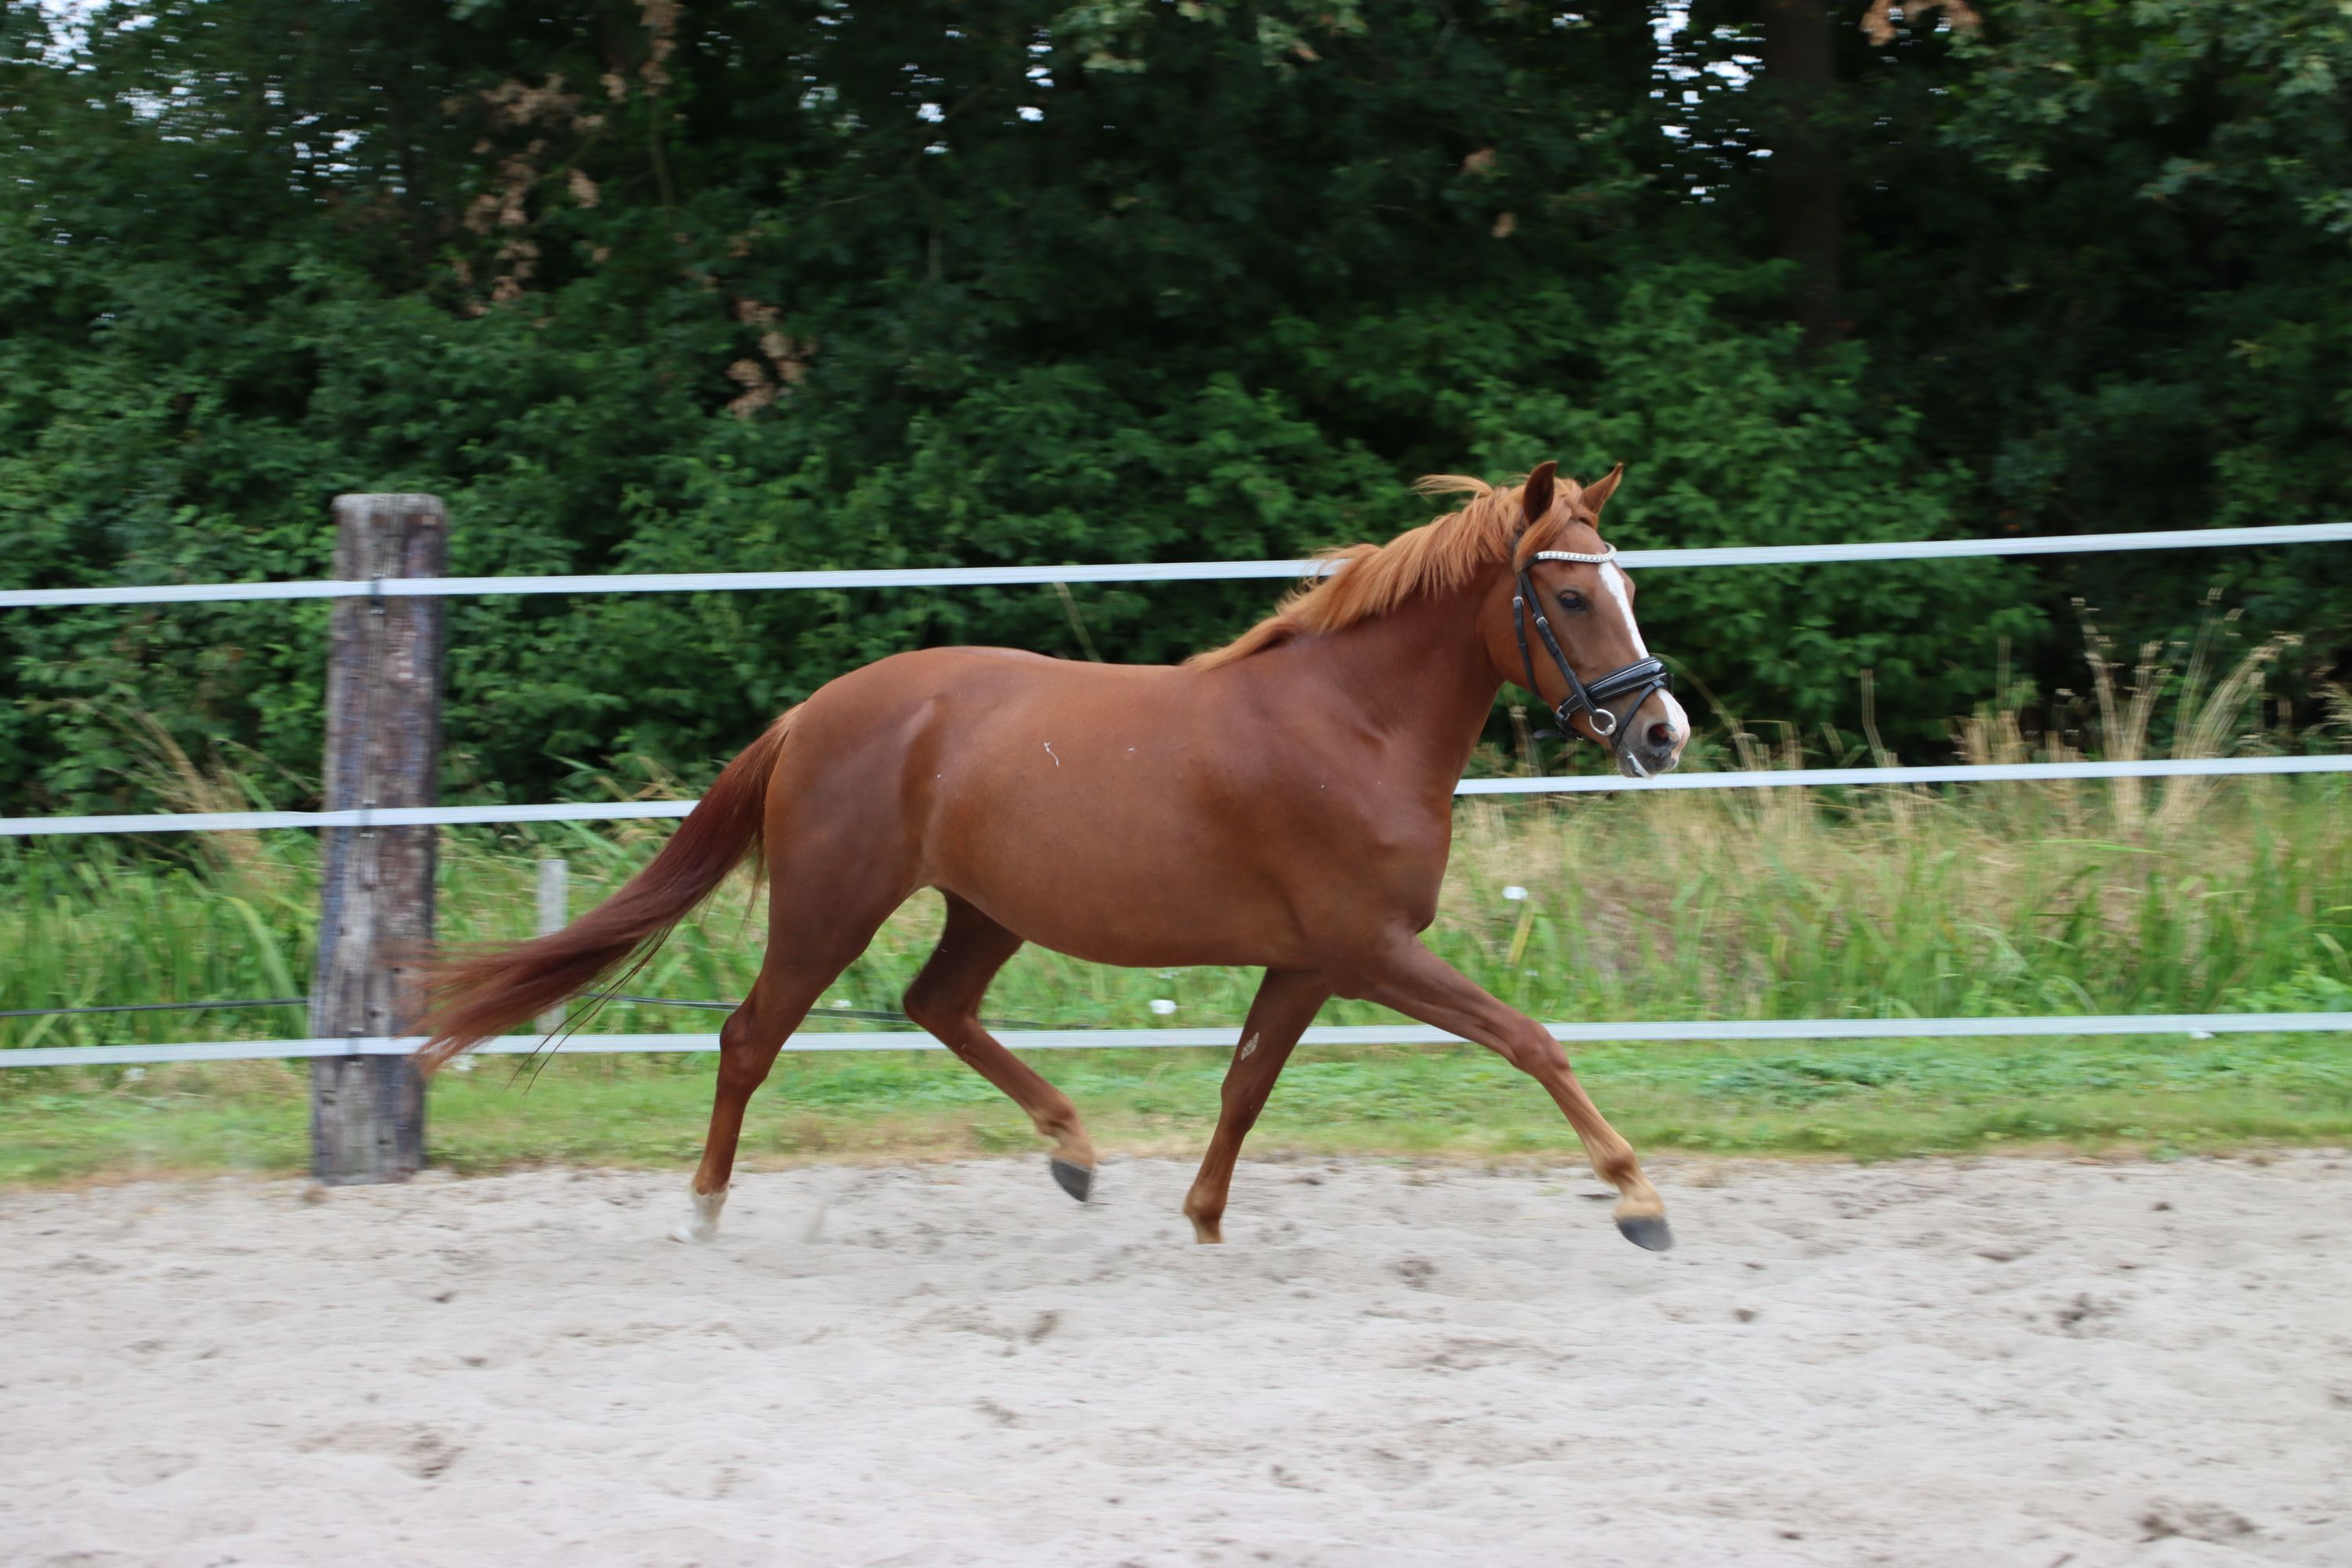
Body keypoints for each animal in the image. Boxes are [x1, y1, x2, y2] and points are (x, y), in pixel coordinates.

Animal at [418, 461, 1692, 1249]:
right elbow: (1530, 1039)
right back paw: (703, 1211)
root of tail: (814, 711)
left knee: (935, 1004)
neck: (1352, 725)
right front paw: (1638, 1198)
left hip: (986, 907)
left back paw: (1073, 1149)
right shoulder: (1370, 950)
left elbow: (1243, 1086)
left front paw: (1202, 1220)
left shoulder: (1309, 960)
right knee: (748, 1038)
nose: (1661, 732)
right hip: (833, 907)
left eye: (1628, 584)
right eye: (1573, 598)